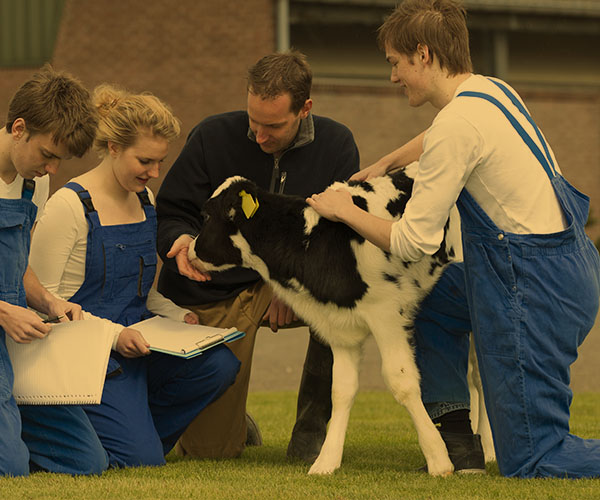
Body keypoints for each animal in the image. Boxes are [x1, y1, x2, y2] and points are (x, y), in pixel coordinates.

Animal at [190, 170, 458, 474]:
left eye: (207, 215)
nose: (189, 250)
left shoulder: (387, 313)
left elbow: (402, 382)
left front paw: (438, 458)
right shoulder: (339, 325)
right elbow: (341, 390)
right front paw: (326, 461)